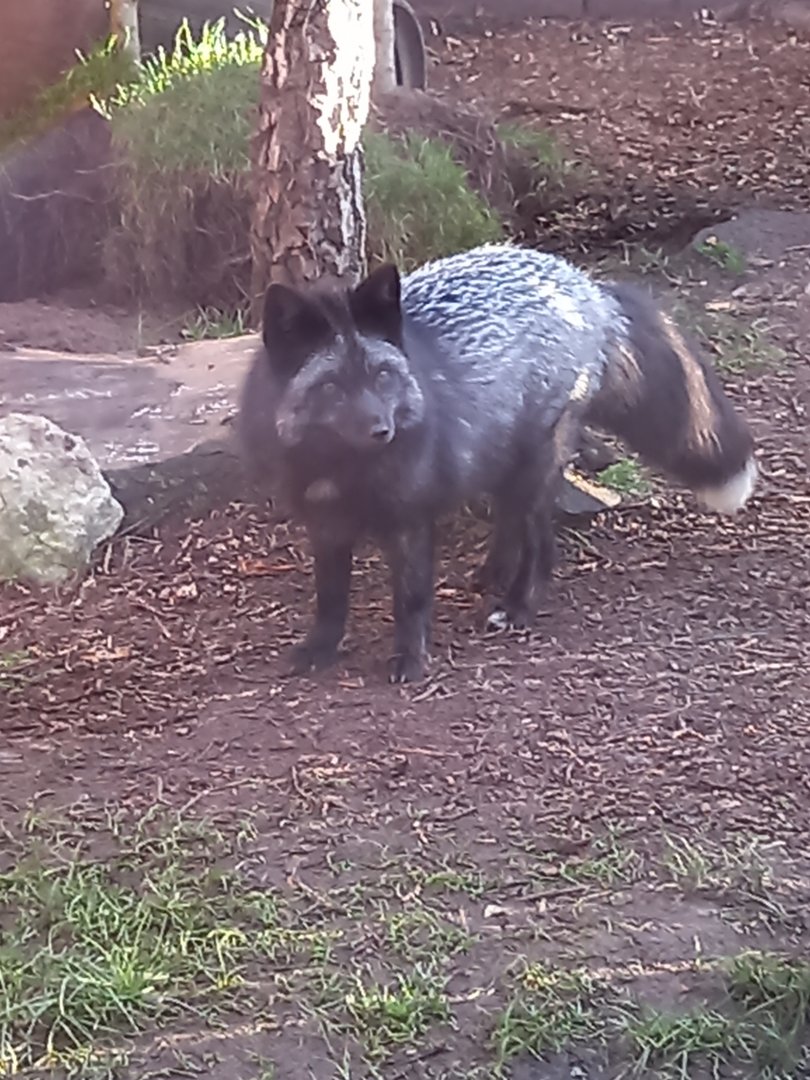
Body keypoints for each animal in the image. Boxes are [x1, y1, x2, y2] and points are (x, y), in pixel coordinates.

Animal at [237, 242, 758, 683]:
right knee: (509, 522)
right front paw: (320, 649)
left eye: (382, 376)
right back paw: (492, 575)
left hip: (534, 467)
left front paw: (410, 658)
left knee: (541, 545)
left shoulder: (410, 519)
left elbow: (410, 599)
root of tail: (586, 287)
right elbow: (329, 599)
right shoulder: (324, 524)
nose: (380, 430)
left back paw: (518, 606)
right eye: (330, 387)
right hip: (500, 460)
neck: (345, 472)